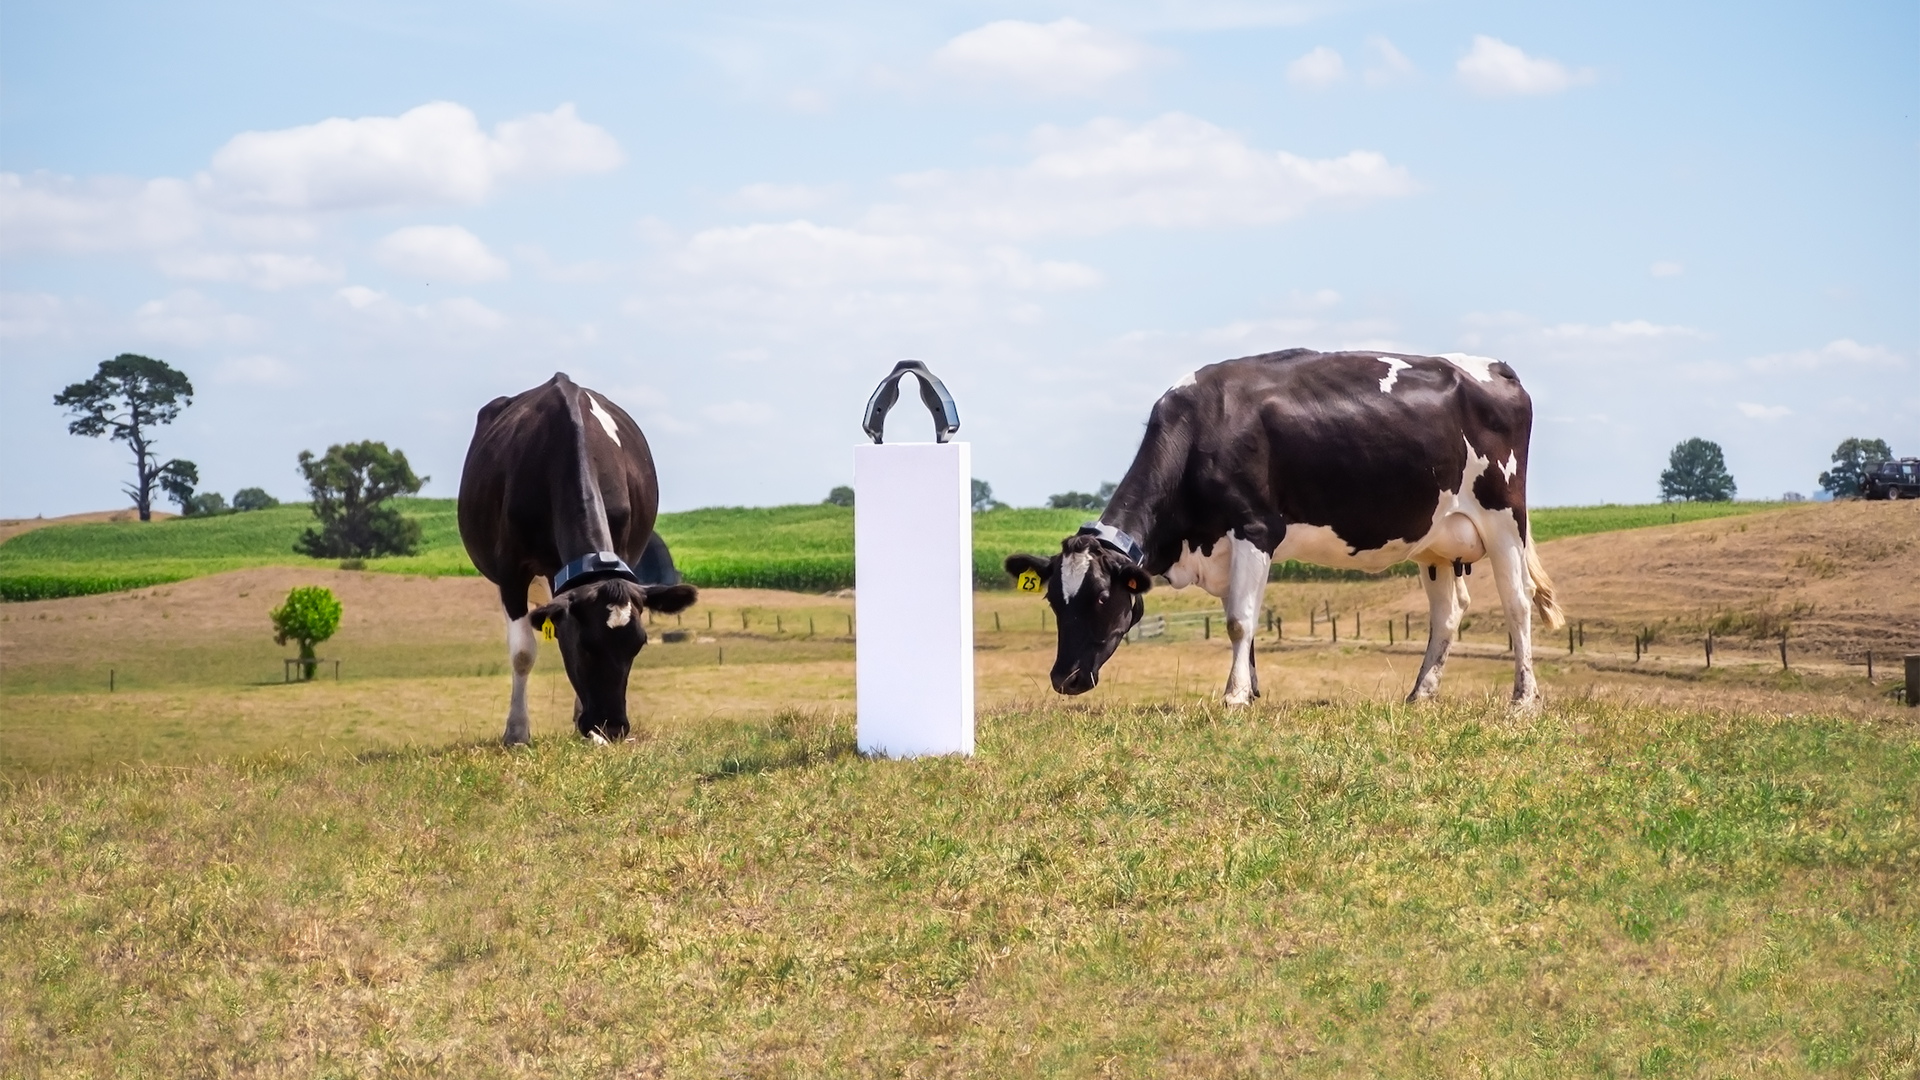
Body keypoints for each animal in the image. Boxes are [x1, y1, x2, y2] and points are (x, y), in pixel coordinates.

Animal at [458, 373, 697, 745]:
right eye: (585, 645)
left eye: (639, 643)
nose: (612, 727)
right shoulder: (511, 570)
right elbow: (522, 652)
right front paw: (517, 732)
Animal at [1005, 348, 1565, 708]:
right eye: (1053, 600)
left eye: (1102, 598)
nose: (1063, 678)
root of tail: (1495, 367)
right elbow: (1244, 621)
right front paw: (1250, 691)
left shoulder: (1254, 528)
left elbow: (1240, 620)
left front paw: (1233, 699)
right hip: (1436, 541)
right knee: (1447, 615)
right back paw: (1420, 695)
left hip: (1504, 517)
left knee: (1517, 603)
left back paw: (1523, 699)